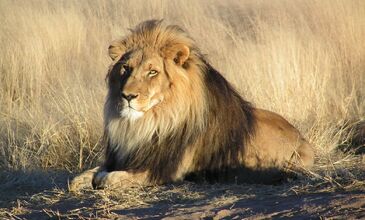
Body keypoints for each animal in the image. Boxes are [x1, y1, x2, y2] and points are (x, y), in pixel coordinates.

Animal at [69, 20, 312, 191]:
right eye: (126, 68)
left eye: (152, 72)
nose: (127, 96)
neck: (149, 123)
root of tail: (303, 139)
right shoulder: (124, 156)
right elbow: (79, 178)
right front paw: (84, 179)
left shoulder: (164, 170)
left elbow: (109, 178)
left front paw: (102, 179)